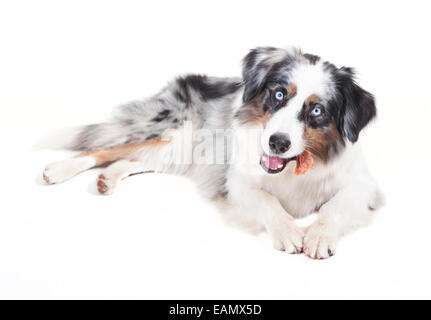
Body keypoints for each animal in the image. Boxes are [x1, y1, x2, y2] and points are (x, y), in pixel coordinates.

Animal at [41, 47, 384, 258]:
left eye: (316, 110)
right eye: (278, 94)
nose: (277, 143)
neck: (293, 168)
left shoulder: (363, 185)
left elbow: (335, 206)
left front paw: (318, 237)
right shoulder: (238, 182)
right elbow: (269, 201)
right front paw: (289, 231)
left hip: (181, 151)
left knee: (133, 159)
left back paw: (107, 179)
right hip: (179, 134)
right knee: (109, 147)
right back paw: (58, 170)